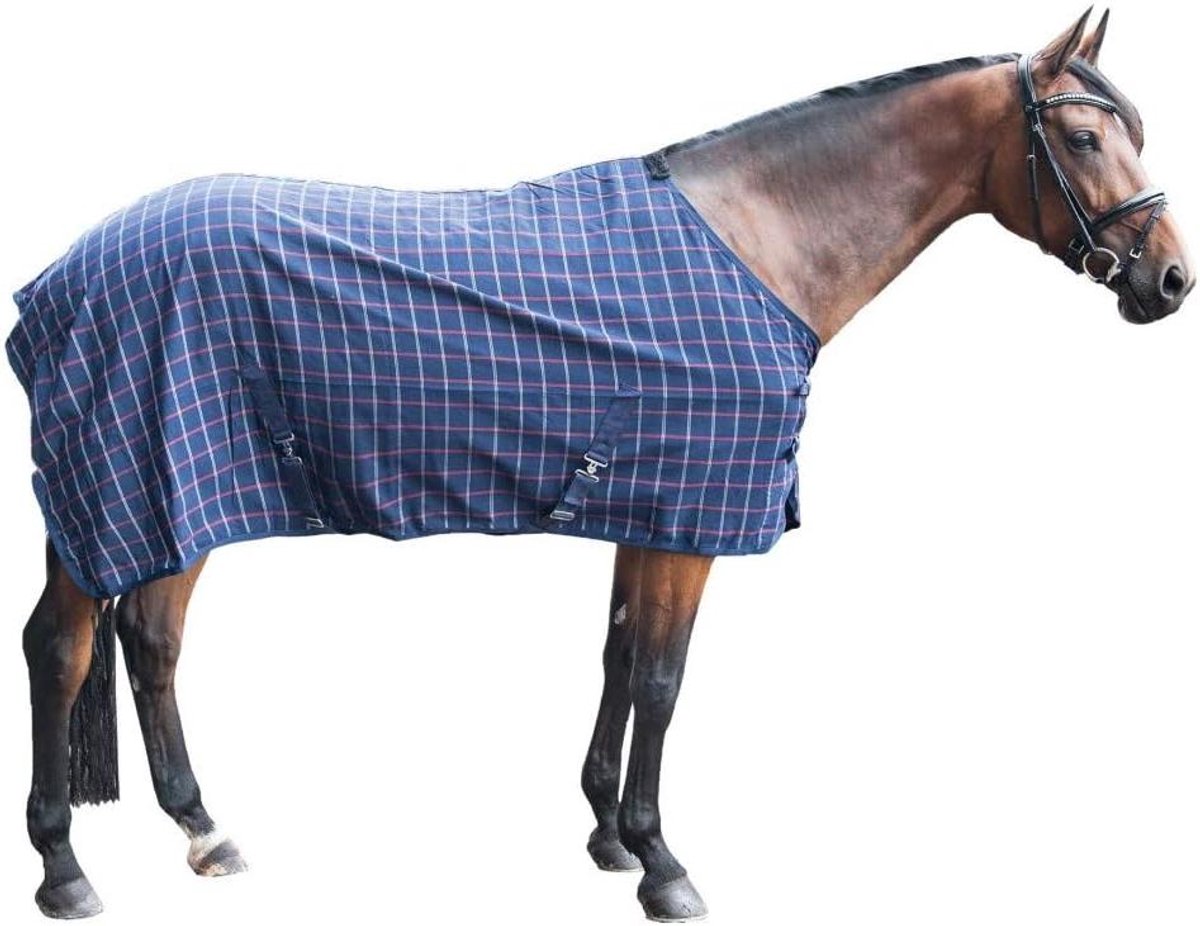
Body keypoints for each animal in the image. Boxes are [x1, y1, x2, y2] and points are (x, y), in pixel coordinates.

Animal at [11, 9, 1193, 921]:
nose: (1171, 279)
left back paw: (205, 830)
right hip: (128, 486)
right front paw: (664, 863)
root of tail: (64, 276)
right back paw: (64, 869)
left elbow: (622, 659)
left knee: (150, 638)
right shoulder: (692, 516)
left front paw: (608, 836)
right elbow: (664, 680)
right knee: (63, 649)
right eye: (1082, 135)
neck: (754, 243)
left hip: (174, 492)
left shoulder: (645, 508)